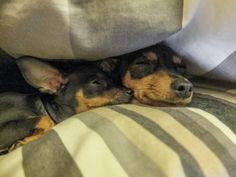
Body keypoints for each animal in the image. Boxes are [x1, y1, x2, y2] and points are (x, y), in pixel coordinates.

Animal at [0, 57, 133, 153]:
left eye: (113, 80)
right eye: (96, 82)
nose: (130, 92)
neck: (41, 107)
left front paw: (27, 139)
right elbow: (46, 119)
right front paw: (24, 141)